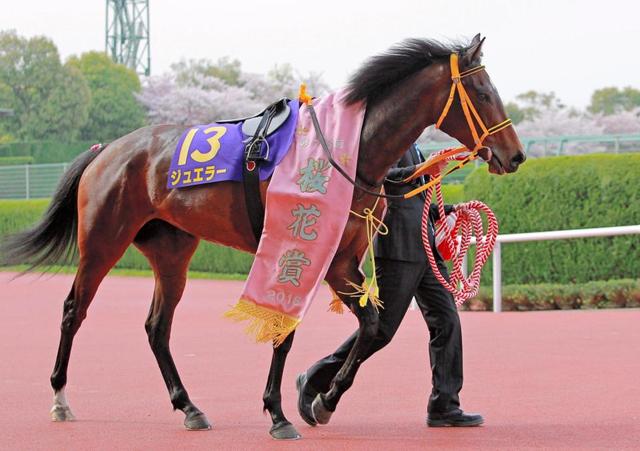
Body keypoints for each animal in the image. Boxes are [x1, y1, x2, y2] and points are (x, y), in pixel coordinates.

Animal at [1, 34, 525, 440]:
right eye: (482, 90)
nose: (515, 154)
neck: (347, 149)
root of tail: (107, 148)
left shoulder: (338, 259)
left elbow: (372, 327)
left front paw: (319, 400)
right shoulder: (298, 250)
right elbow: (290, 331)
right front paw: (283, 412)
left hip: (171, 250)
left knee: (157, 327)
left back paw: (189, 406)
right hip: (103, 242)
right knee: (74, 310)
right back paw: (60, 398)